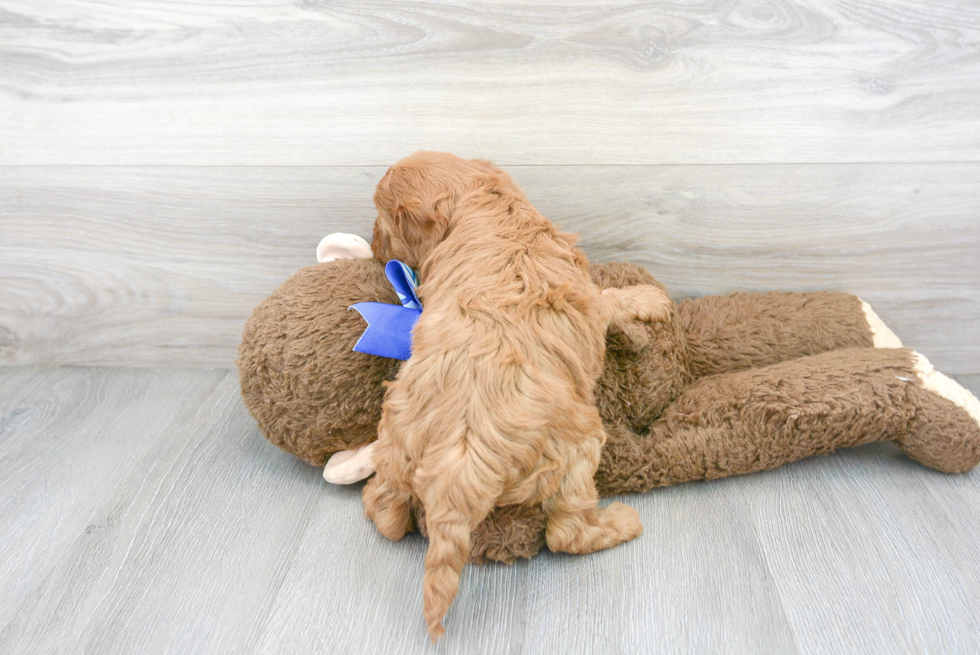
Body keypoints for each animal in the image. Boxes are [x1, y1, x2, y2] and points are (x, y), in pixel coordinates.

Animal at [364, 151, 668, 640]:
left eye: (382, 221)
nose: (372, 244)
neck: (481, 205)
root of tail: (459, 467)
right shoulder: (588, 293)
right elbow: (613, 299)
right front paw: (650, 300)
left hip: (395, 435)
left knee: (389, 516)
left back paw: (376, 499)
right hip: (578, 449)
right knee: (566, 533)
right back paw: (620, 522)